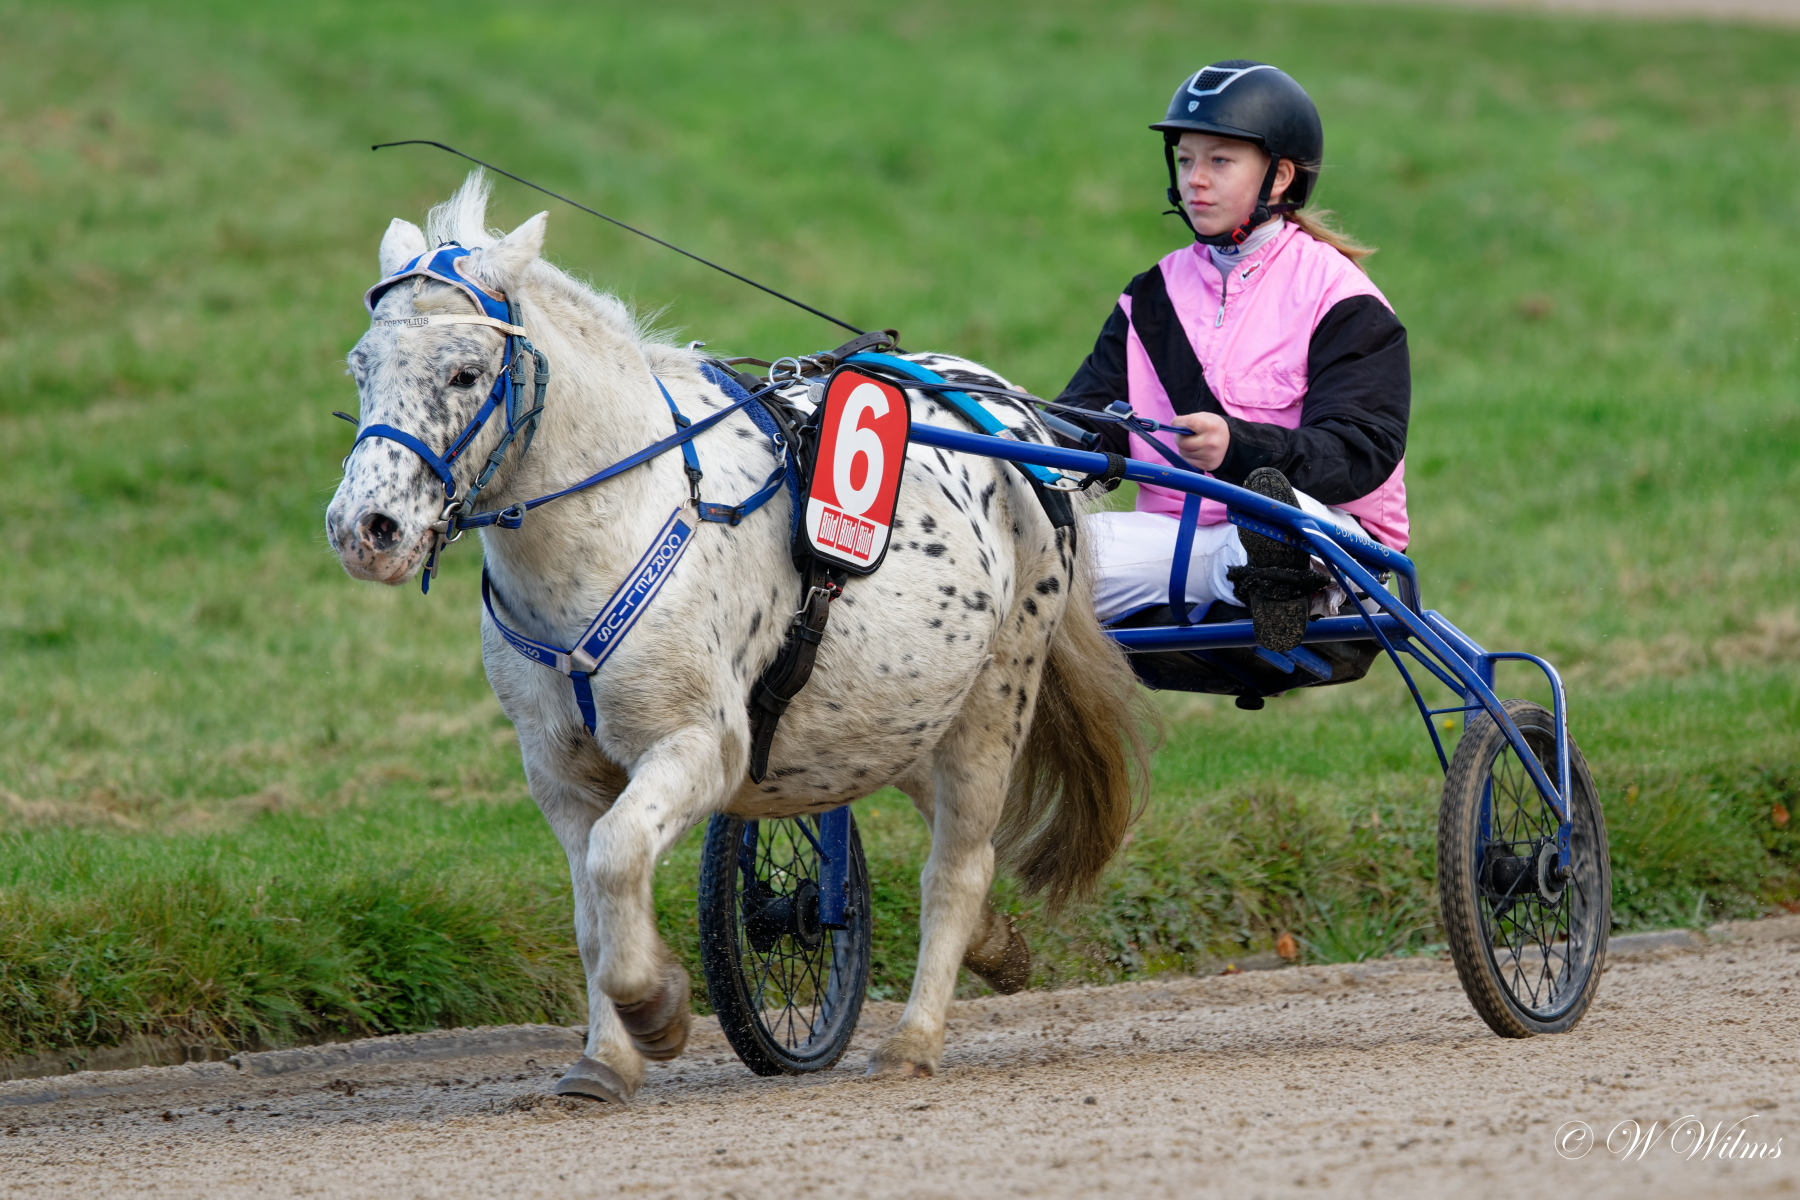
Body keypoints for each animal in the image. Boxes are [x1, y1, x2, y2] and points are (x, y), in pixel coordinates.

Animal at [325, 172, 1147, 1100]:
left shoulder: (701, 745)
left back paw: (915, 1037)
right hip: (899, 711)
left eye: (465, 372)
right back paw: (994, 947)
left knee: (959, 863)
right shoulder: (560, 769)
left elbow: (617, 859)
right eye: (361, 366)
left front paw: (655, 1007)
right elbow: (592, 908)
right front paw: (605, 1058)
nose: (367, 528)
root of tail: (1013, 417)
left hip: (998, 691)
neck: (622, 518)